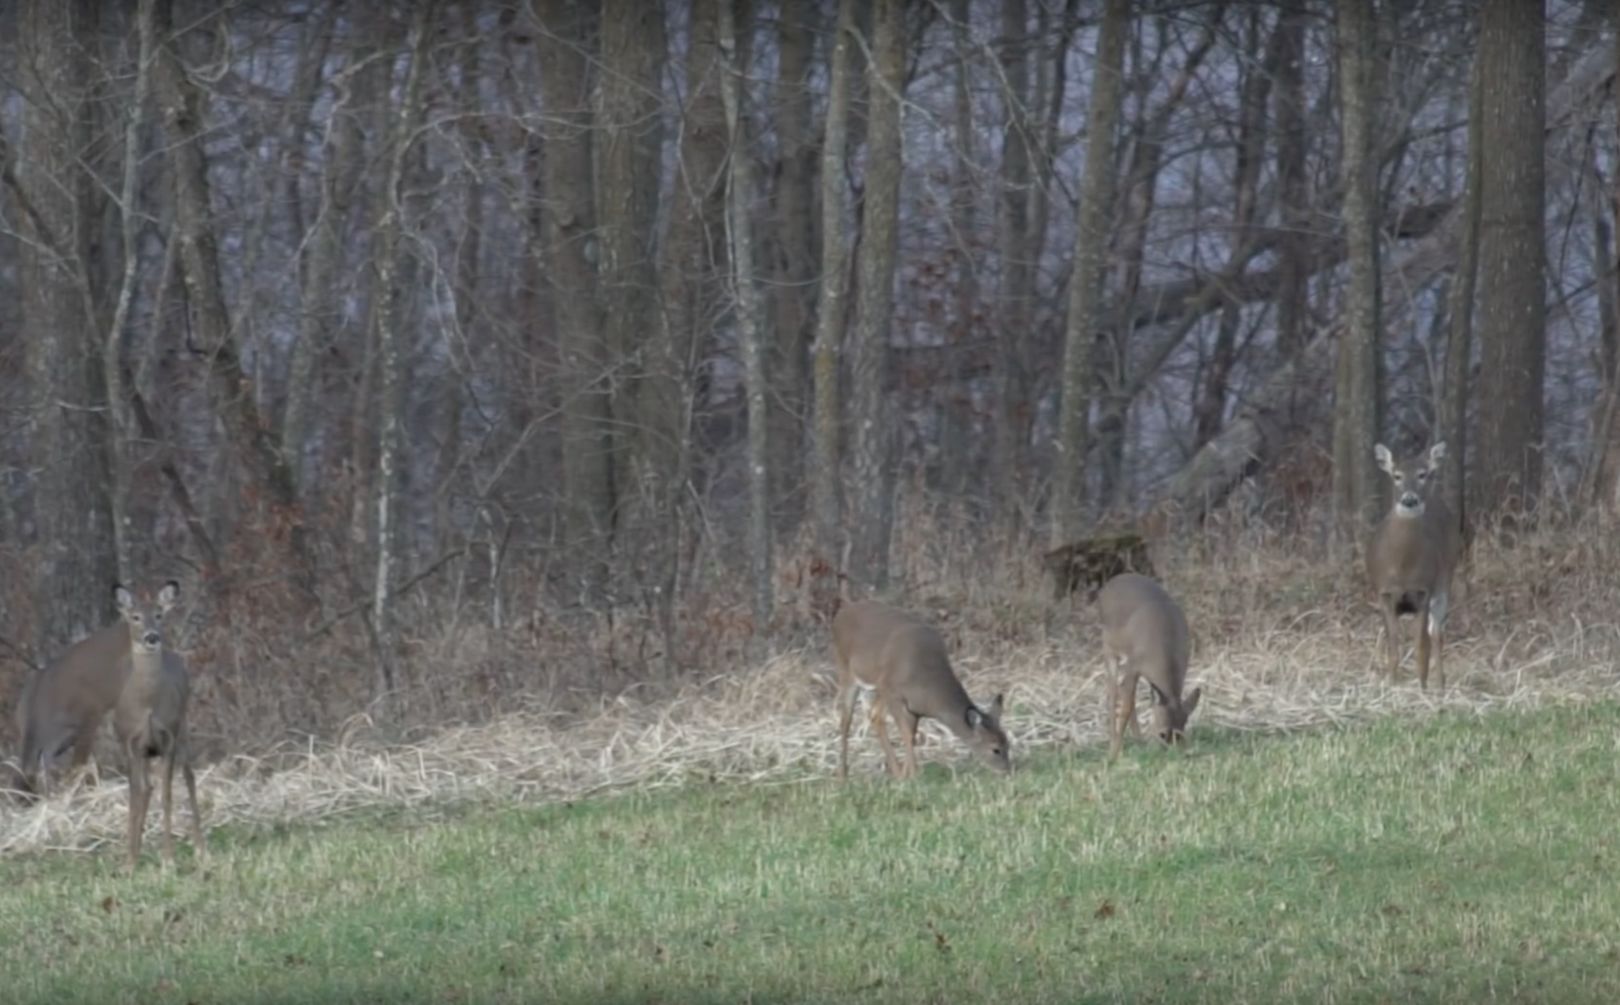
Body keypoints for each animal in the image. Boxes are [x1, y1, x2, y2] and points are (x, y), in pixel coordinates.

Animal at [829, 599, 1004, 781]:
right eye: (995, 749)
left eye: (1007, 742)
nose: (1008, 770)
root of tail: (841, 613)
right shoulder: (892, 691)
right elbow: (906, 733)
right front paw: (913, 776)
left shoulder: (914, 707)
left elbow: (911, 734)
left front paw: (906, 774)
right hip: (848, 672)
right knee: (847, 720)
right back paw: (843, 775)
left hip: (877, 687)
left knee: (873, 715)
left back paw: (895, 772)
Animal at [1095, 570, 1198, 758]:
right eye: (1162, 733)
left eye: (1179, 735)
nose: (1169, 753)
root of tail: (1108, 585)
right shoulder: (1134, 665)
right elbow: (1126, 706)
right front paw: (1114, 752)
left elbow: (1131, 701)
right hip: (1108, 647)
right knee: (1112, 691)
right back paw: (1114, 742)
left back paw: (1138, 739)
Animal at [1367, 440, 1470, 690]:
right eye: (1397, 475)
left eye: (1423, 474)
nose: (1410, 499)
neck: (1402, 567)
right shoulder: (1383, 593)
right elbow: (1393, 648)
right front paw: (1391, 685)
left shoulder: (1424, 591)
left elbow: (1422, 648)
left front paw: (1422, 689)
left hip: (1445, 579)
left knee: (1437, 634)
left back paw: (1440, 684)